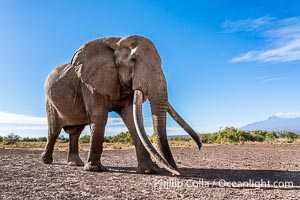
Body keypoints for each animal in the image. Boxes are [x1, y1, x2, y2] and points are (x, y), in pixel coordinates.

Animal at [41, 34, 202, 175]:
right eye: (133, 60)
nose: (176, 173)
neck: (117, 43)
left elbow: (133, 120)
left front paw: (149, 171)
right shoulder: (89, 84)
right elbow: (99, 117)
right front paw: (95, 170)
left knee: (76, 132)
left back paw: (76, 164)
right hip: (49, 102)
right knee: (54, 130)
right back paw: (46, 161)